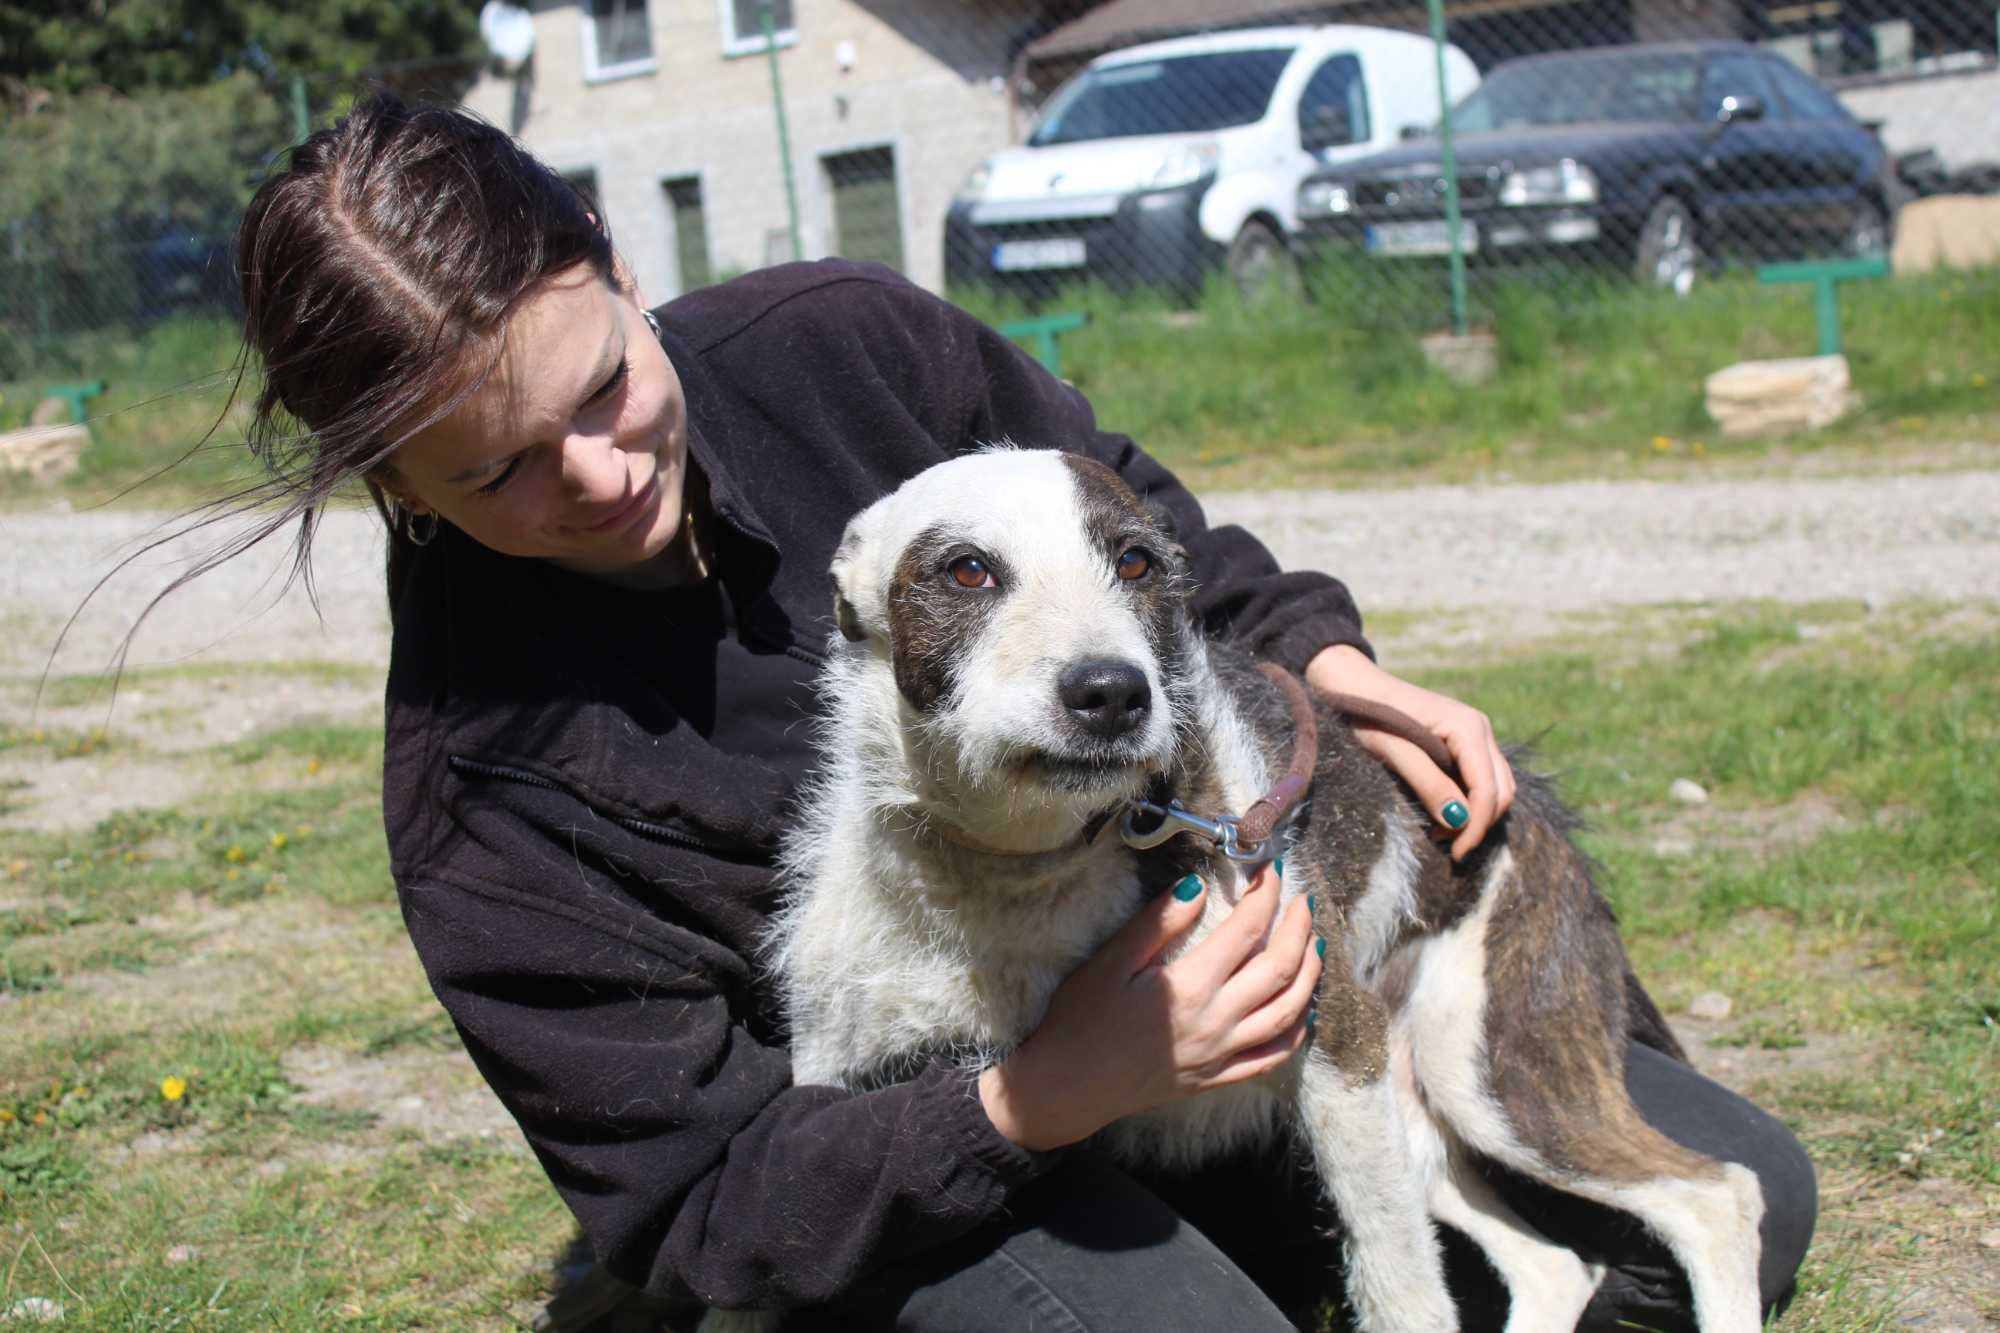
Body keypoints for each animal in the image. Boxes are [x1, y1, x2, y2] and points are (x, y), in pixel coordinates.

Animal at [732, 446, 1752, 1328]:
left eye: (1136, 561)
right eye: (969, 571)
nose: (1112, 692)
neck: (1023, 866)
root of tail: (1532, 798)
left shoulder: (1338, 1042)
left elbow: (1401, 1288)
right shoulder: (828, 1076)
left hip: (1496, 1076)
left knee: (1720, 1199)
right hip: (1423, 1108)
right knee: (1558, 1266)